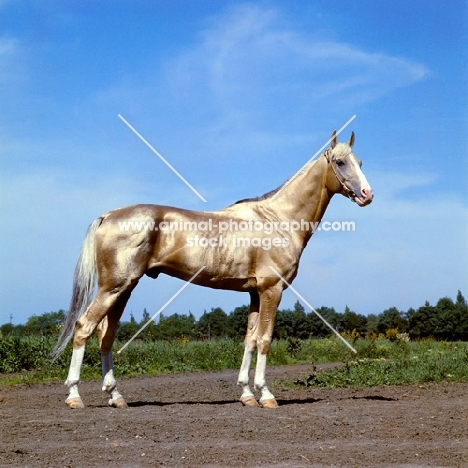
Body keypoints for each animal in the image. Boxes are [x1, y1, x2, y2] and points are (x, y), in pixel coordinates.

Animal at [53, 130, 372, 408]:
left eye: (360, 162)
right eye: (340, 162)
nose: (367, 194)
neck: (278, 219)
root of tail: (107, 215)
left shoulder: (254, 293)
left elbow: (250, 340)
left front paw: (246, 394)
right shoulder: (272, 290)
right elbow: (265, 340)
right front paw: (266, 395)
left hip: (124, 289)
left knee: (105, 335)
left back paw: (115, 396)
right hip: (114, 288)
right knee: (83, 327)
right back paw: (74, 396)